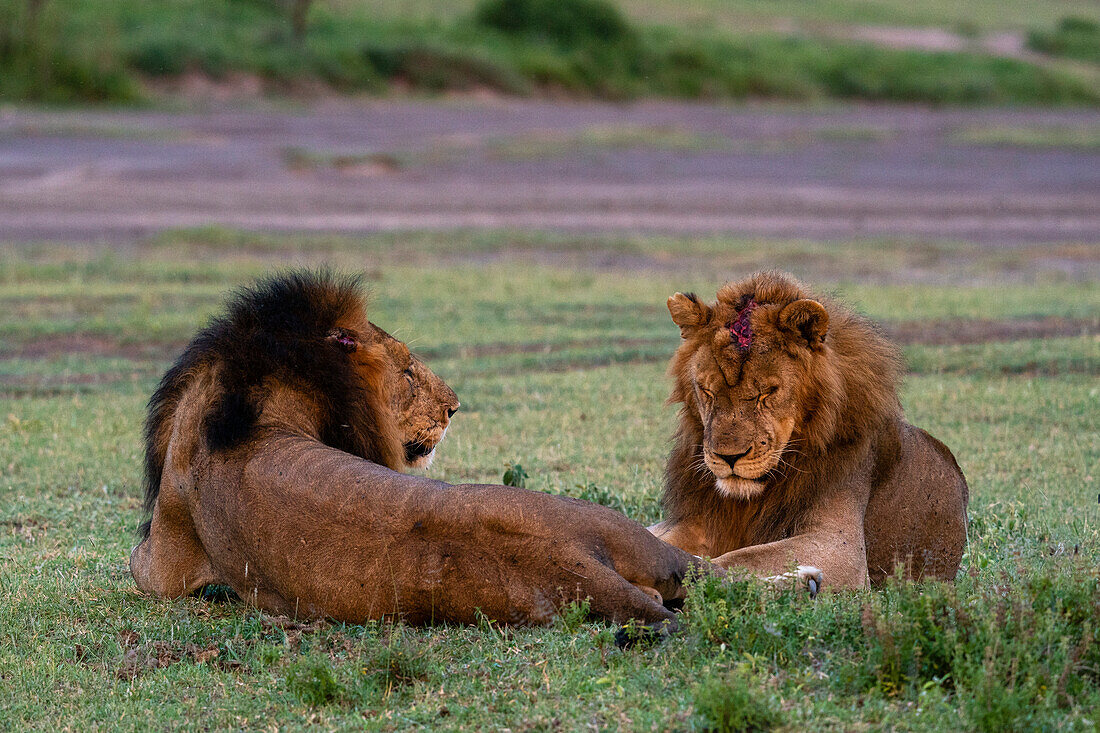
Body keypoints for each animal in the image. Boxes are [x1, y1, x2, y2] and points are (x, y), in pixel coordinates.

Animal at [130, 270, 695, 625]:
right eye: (405, 371)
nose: (455, 407)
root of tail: (568, 558)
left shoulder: (164, 561)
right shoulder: (166, 562)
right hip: (624, 533)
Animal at [646, 269, 968, 589]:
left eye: (767, 392)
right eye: (707, 391)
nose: (728, 457)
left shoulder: (841, 548)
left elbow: (739, 558)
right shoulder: (699, 522)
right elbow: (662, 543)